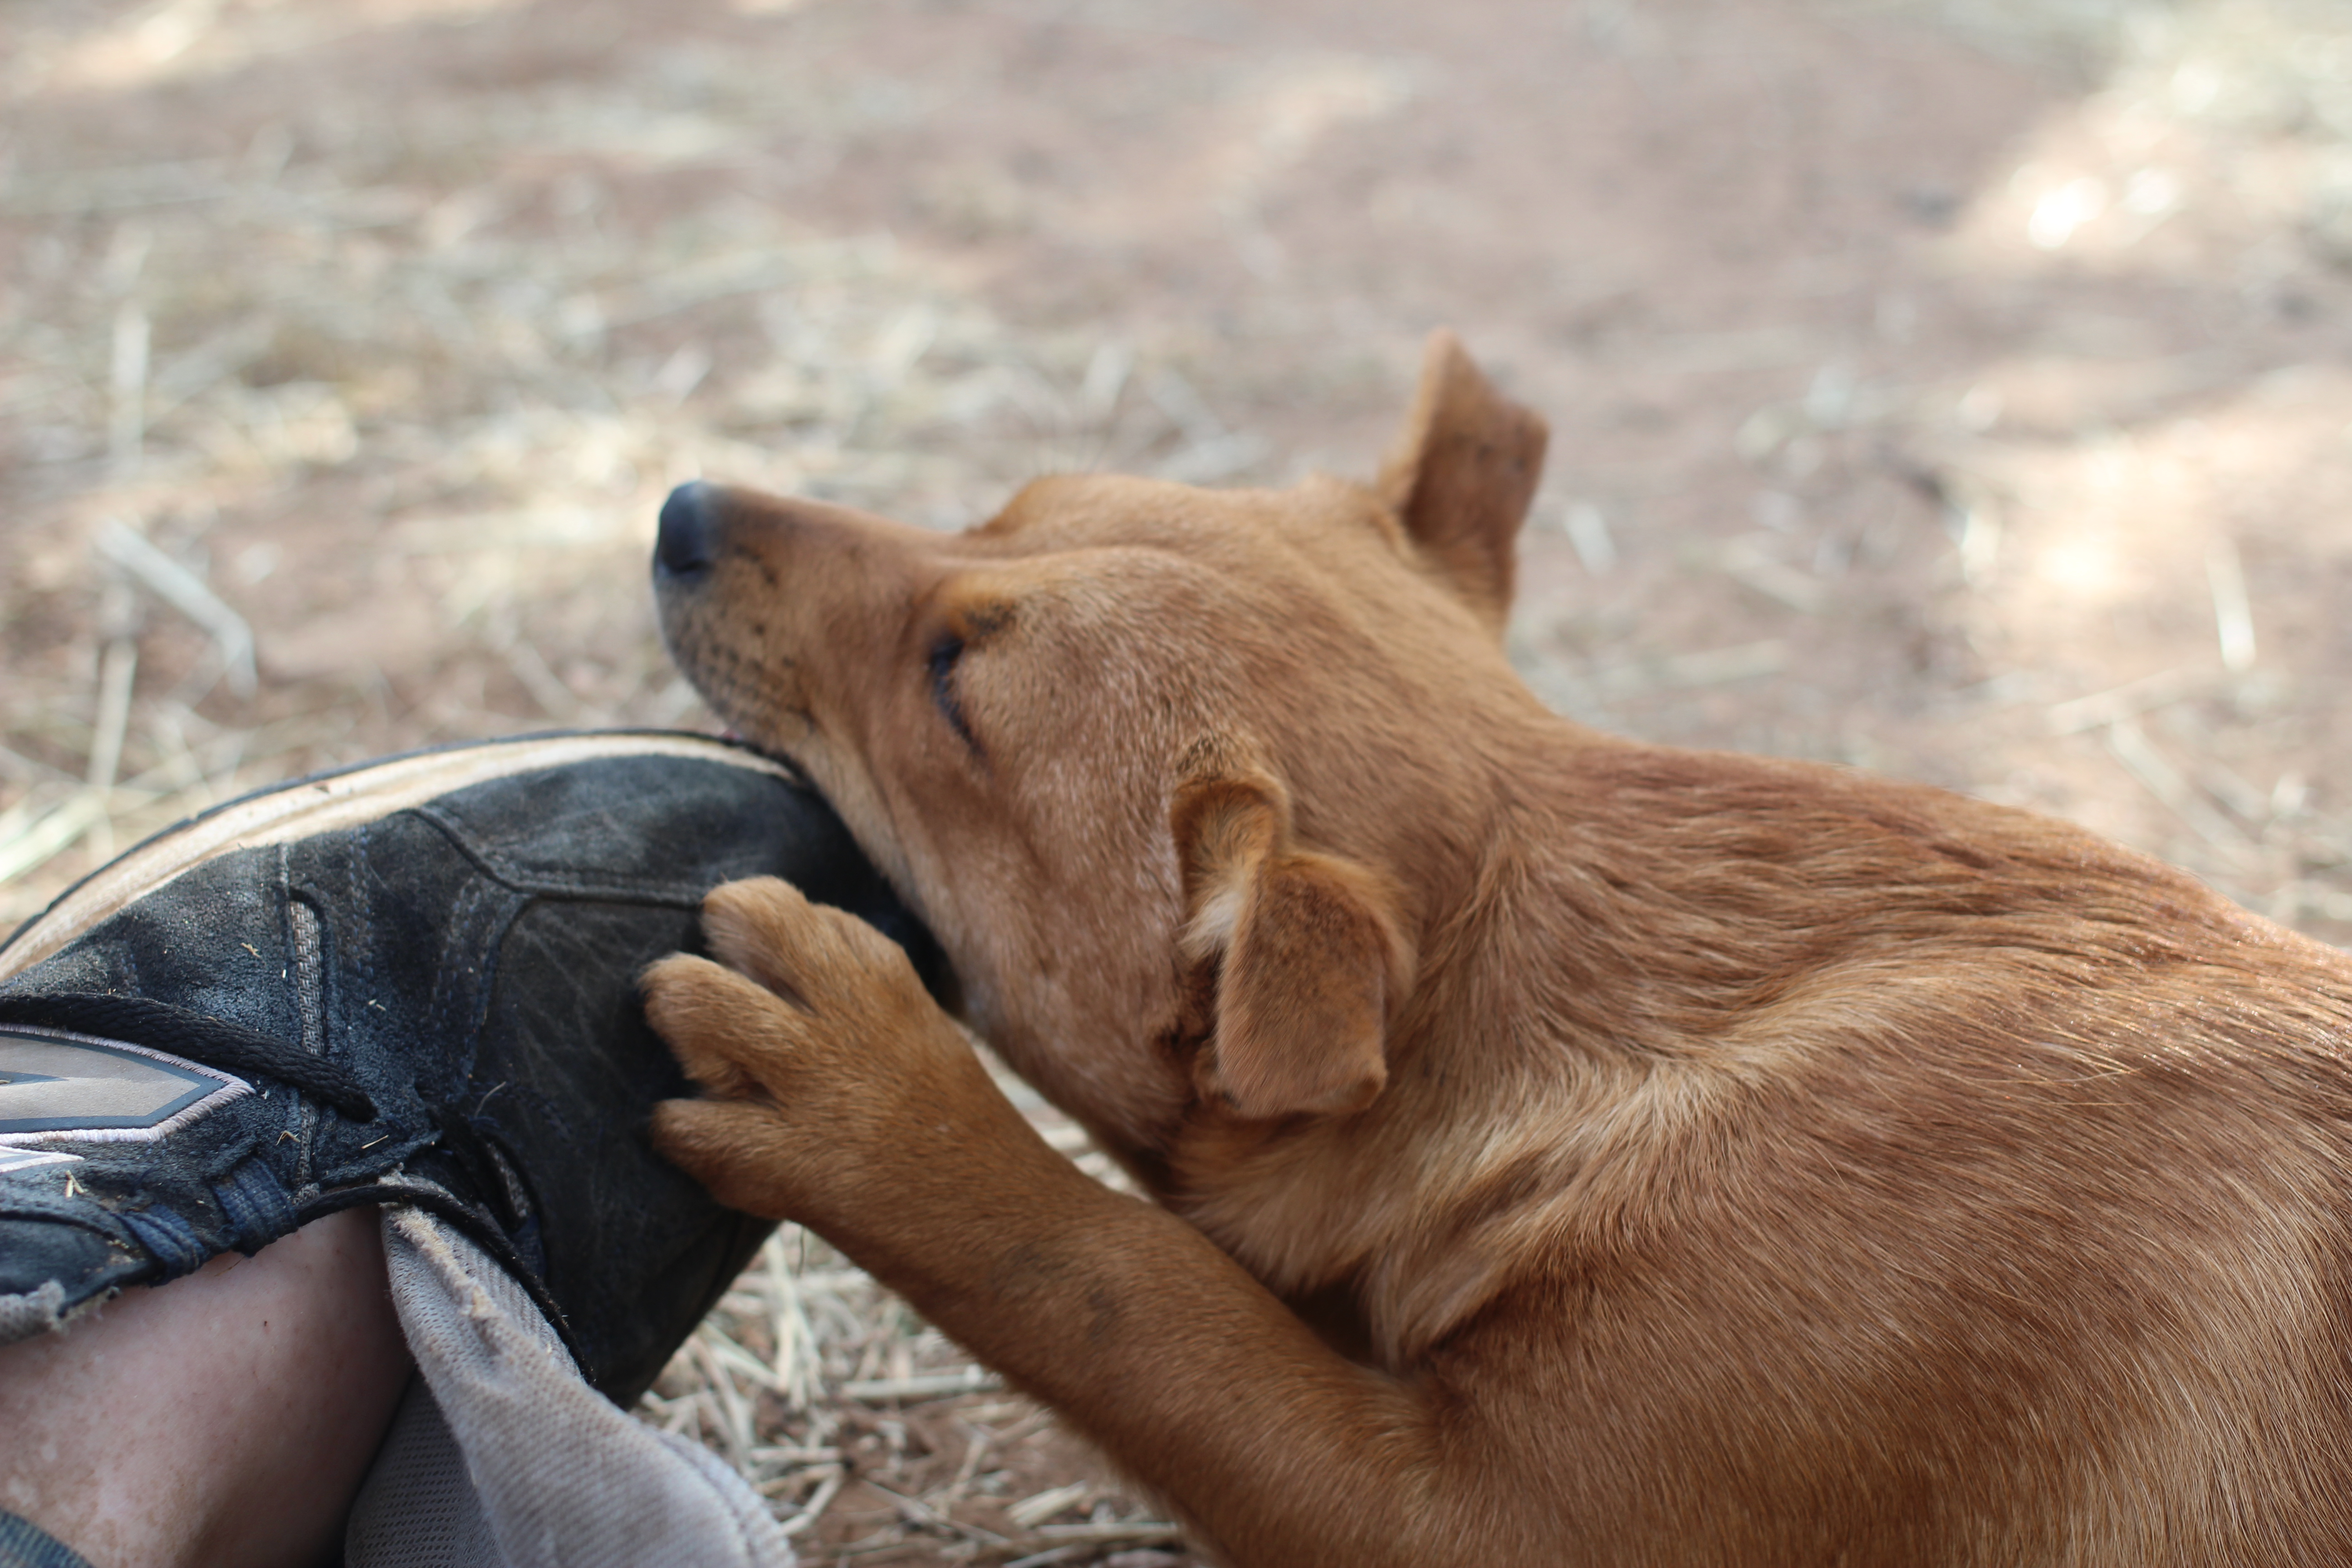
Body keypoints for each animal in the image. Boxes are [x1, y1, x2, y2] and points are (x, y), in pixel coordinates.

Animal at [635, 333, 2352, 1568]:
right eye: (985, 515)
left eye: (950, 686)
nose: (679, 510)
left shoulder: (1477, 1523)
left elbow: (1111, 1276)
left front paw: (880, 1106)